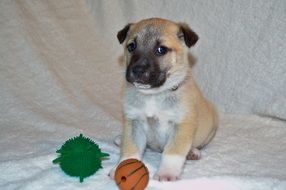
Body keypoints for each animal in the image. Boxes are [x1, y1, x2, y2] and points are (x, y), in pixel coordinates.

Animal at [110, 18, 218, 183]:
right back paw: (120, 139)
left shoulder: (182, 125)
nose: (137, 70)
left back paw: (193, 152)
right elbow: (130, 149)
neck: (153, 95)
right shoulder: (134, 123)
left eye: (161, 49)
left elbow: (173, 152)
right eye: (131, 46)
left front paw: (167, 173)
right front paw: (121, 167)